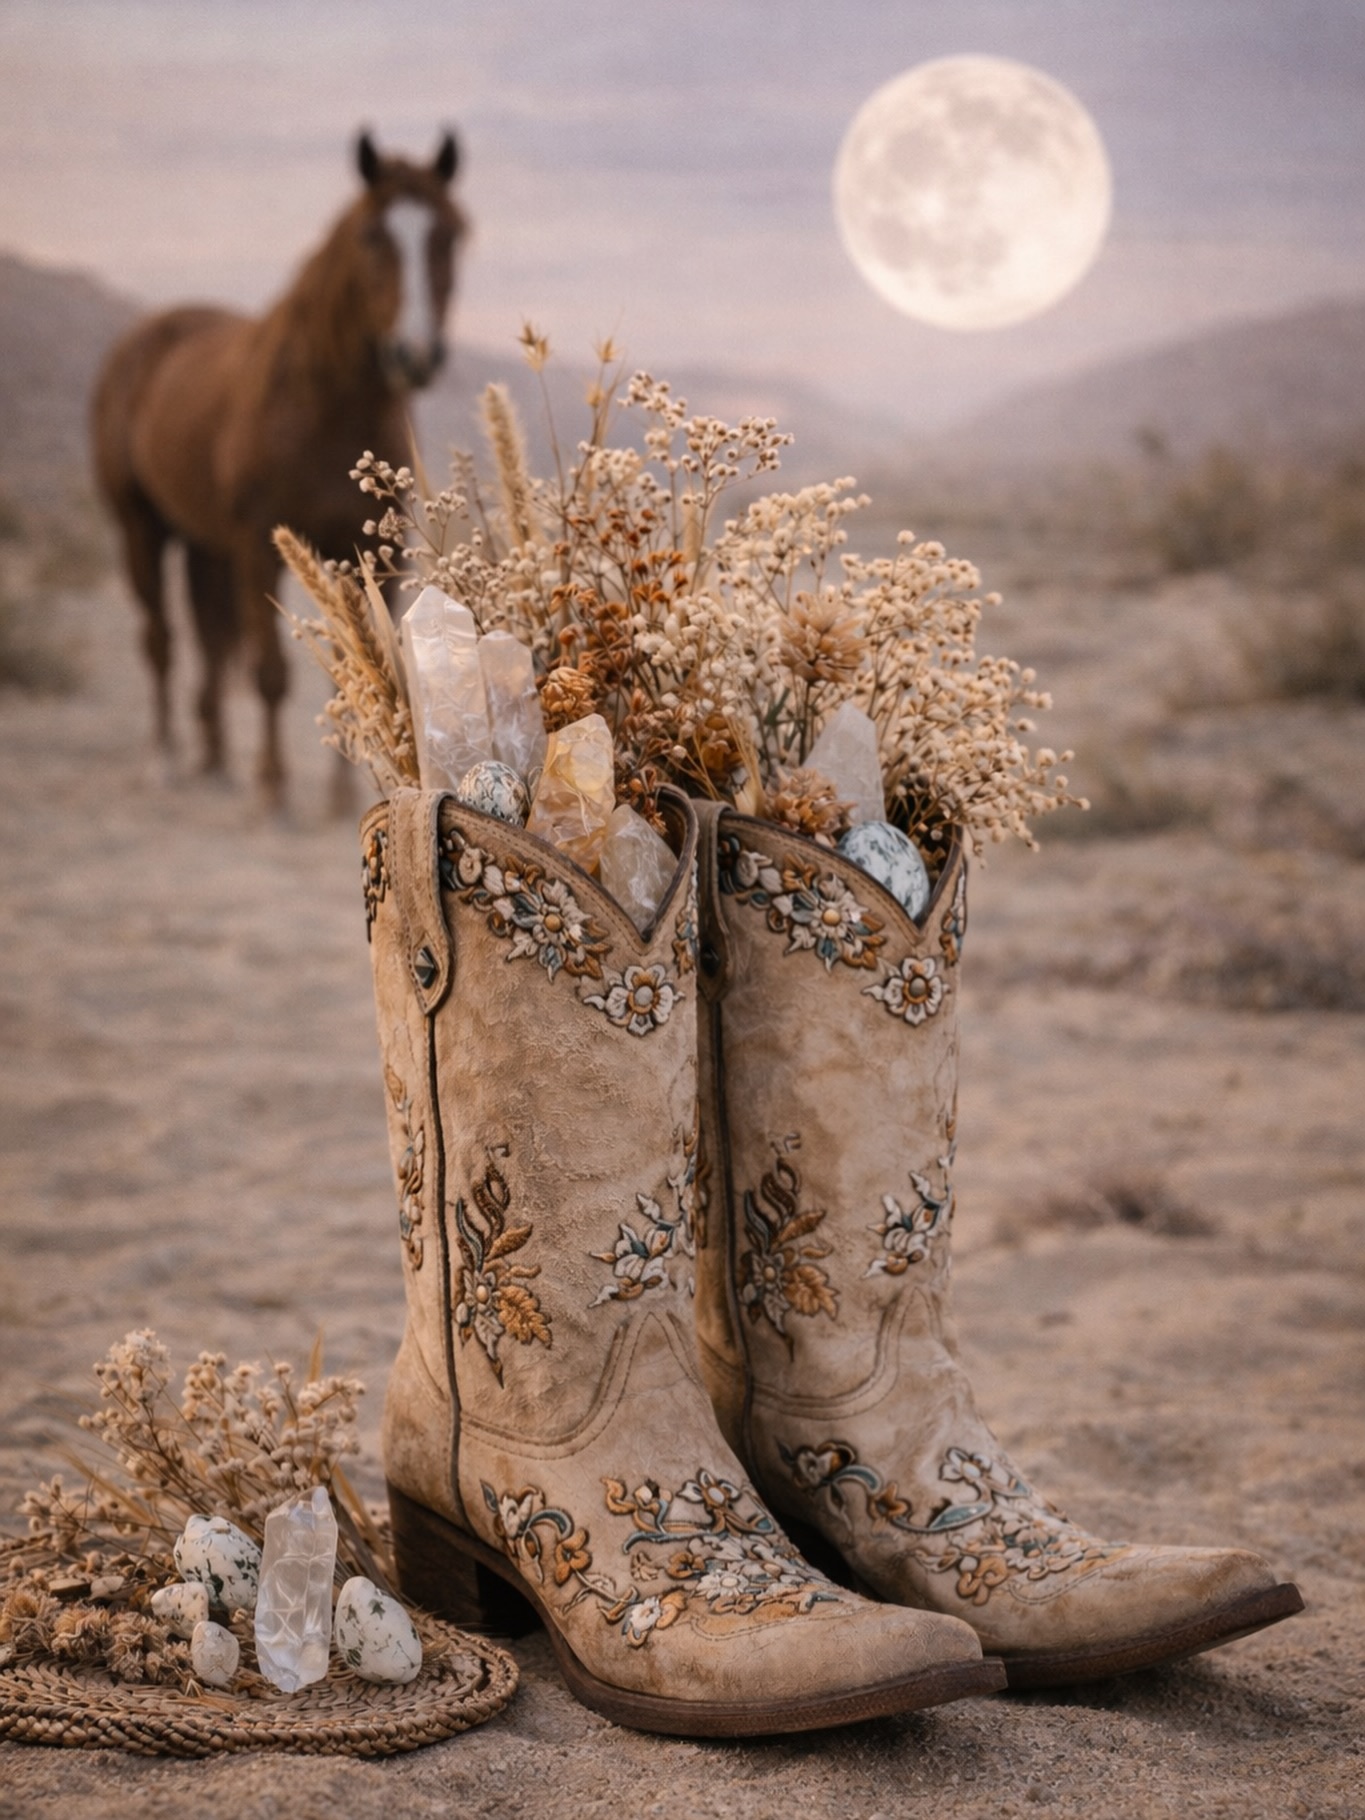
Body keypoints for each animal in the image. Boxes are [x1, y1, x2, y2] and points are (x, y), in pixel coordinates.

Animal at [92, 131, 466, 808]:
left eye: (447, 234)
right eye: (372, 236)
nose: (415, 353)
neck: (326, 407)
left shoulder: (369, 556)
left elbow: (356, 670)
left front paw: (345, 796)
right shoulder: (258, 544)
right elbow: (268, 671)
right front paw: (272, 788)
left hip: (204, 543)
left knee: (210, 640)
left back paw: (215, 759)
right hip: (143, 529)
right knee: (161, 641)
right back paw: (165, 760)